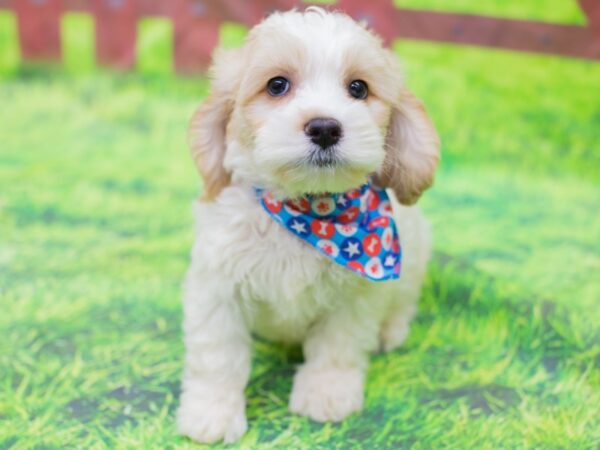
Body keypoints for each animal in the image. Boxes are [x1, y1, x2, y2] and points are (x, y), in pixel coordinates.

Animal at [176, 6, 438, 442]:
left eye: (358, 88)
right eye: (277, 85)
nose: (325, 127)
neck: (309, 211)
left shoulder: (356, 297)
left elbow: (338, 346)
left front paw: (326, 394)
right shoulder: (218, 287)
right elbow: (218, 356)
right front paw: (212, 413)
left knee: (403, 303)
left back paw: (390, 332)